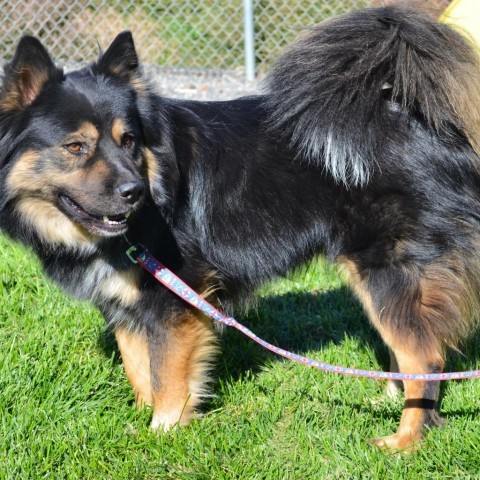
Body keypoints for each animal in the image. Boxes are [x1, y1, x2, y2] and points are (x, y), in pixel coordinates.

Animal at [0, 5, 480, 450]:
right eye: (75, 147)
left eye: (128, 140)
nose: (134, 192)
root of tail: (414, 117)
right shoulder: (128, 302)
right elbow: (140, 368)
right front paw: (139, 422)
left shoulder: (178, 295)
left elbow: (167, 375)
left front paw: (164, 432)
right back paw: (387, 399)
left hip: (387, 270)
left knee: (426, 357)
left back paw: (404, 441)